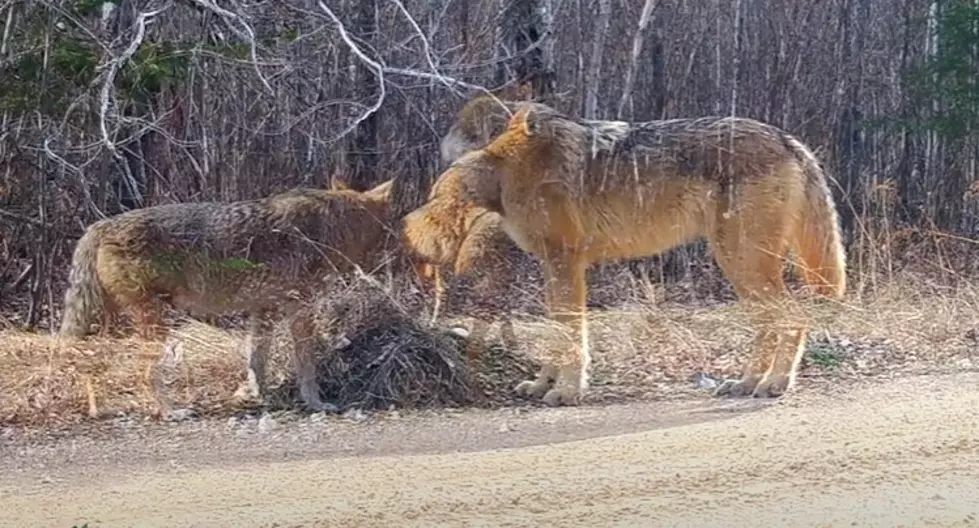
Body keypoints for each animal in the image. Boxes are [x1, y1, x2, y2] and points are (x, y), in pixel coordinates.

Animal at [57, 178, 395, 411]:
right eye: (390, 227)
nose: (398, 252)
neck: (334, 225)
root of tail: (100, 225)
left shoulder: (263, 310)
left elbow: (256, 360)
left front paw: (255, 394)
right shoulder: (299, 311)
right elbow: (306, 365)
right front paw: (316, 403)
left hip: (109, 321)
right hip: (153, 324)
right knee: (145, 374)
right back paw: (171, 411)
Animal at [435, 99, 846, 406]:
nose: (440, 152)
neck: (512, 164)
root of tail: (788, 139)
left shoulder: (566, 262)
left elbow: (573, 332)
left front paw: (567, 391)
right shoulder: (552, 265)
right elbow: (557, 330)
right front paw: (541, 385)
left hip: (743, 262)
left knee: (795, 318)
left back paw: (774, 383)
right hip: (738, 267)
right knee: (770, 323)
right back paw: (746, 382)